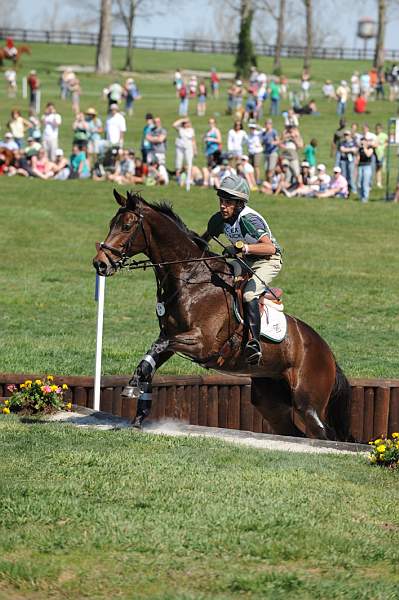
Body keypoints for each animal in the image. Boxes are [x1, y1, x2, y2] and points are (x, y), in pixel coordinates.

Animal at [92, 191, 352, 440]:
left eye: (127, 226)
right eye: (112, 223)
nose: (100, 264)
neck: (191, 277)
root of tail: (327, 352)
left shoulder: (202, 343)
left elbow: (158, 348)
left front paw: (133, 387)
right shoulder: (171, 337)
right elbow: (152, 356)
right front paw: (138, 408)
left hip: (308, 403)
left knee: (324, 432)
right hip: (271, 399)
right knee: (292, 431)